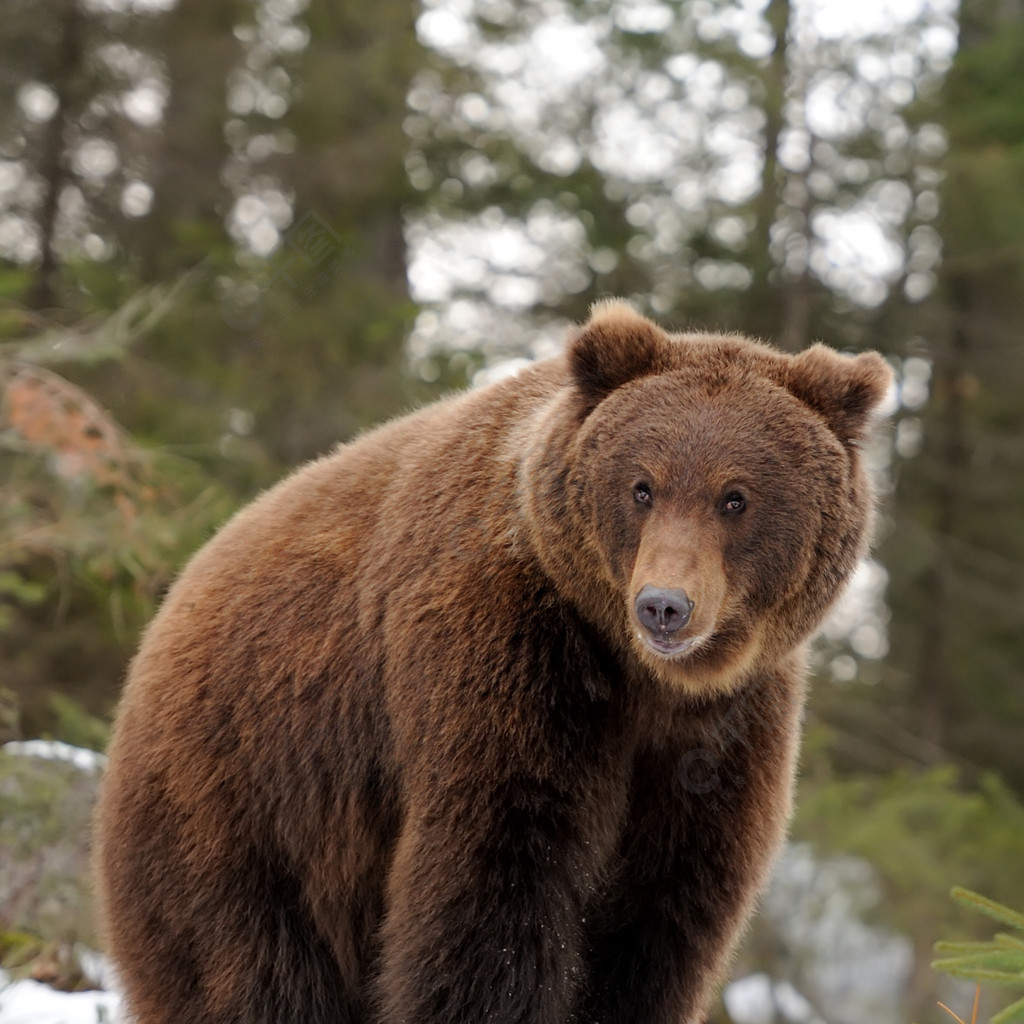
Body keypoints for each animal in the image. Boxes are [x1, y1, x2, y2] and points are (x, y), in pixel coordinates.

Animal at [97, 301, 888, 1024]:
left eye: (736, 497)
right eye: (642, 486)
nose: (664, 606)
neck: (639, 674)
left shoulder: (724, 730)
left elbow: (662, 919)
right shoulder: (502, 651)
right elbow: (496, 881)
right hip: (243, 800)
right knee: (246, 972)